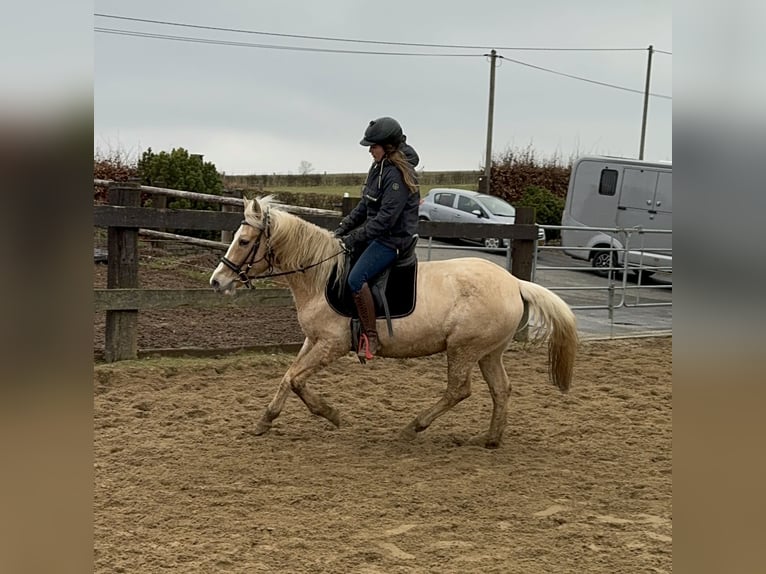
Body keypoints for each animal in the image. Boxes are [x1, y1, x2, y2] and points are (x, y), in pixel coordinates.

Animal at [210, 198, 576, 450]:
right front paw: (264, 421)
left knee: (459, 390)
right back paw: (490, 440)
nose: (217, 281)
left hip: (463, 349)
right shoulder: (312, 341)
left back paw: (412, 427)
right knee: (501, 389)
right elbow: (288, 377)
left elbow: (297, 380)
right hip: (488, 353)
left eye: (244, 241)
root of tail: (515, 282)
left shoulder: (331, 345)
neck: (323, 275)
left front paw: (331, 414)